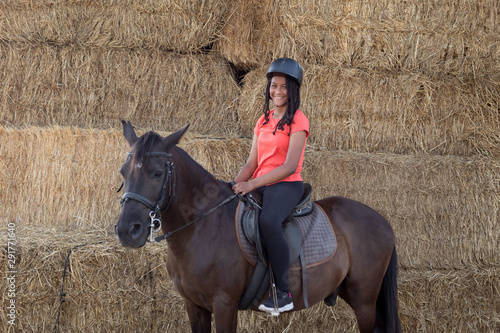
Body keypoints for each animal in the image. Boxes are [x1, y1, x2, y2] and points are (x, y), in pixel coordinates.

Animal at [115, 120, 400, 332]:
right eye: (123, 172)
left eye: (157, 173)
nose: (127, 230)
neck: (201, 228)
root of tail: (382, 221)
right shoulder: (194, 306)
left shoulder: (224, 305)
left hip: (364, 299)